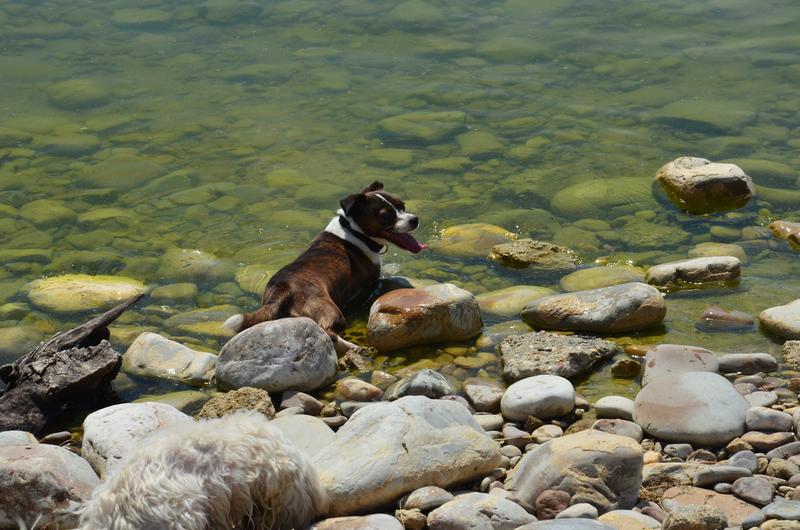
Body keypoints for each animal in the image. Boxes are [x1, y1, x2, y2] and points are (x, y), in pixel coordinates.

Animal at [222, 182, 428, 350]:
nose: (415, 219)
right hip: (331, 310)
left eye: (402, 206)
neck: (354, 232)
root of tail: (284, 289)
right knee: (327, 331)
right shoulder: (369, 284)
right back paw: (353, 348)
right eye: (386, 216)